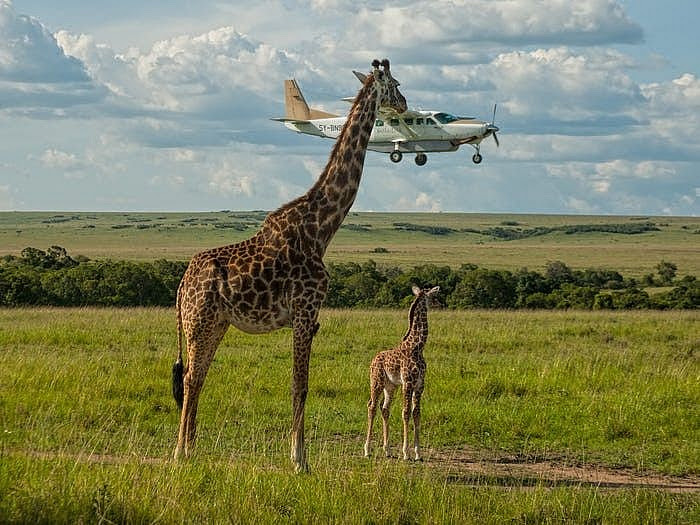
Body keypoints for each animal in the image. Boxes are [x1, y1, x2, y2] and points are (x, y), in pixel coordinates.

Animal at [172, 57, 408, 470]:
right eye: (394, 84)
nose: (405, 103)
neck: (321, 227)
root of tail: (183, 284)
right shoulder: (303, 310)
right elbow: (301, 385)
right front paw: (299, 460)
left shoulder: (310, 317)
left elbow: (300, 384)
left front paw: (299, 456)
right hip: (197, 321)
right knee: (188, 378)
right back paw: (181, 451)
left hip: (216, 323)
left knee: (197, 377)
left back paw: (192, 448)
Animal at [366, 284, 438, 460]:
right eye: (433, 295)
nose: (441, 304)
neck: (417, 348)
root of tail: (373, 360)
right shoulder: (408, 382)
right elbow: (405, 412)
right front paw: (406, 452)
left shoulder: (420, 384)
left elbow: (416, 413)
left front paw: (418, 453)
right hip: (376, 382)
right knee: (372, 406)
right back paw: (367, 450)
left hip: (390, 386)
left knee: (384, 408)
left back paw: (387, 450)